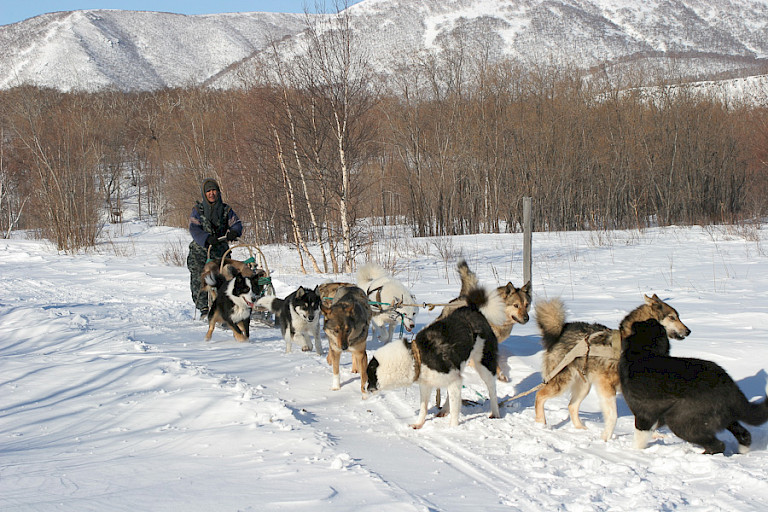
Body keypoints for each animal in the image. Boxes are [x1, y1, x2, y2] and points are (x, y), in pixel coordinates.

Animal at [366, 284, 504, 428]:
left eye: (369, 377)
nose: (366, 390)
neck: (416, 356)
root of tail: (474, 309)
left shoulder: (453, 380)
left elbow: (455, 409)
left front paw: (453, 427)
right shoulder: (427, 384)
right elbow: (424, 407)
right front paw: (419, 424)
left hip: (484, 365)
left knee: (492, 390)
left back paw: (495, 413)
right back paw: (443, 410)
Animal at [536, 294, 688, 442]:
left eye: (678, 316)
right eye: (672, 317)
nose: (688, 331)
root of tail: (561, 330)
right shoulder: (606, 386)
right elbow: (613, 416)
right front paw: (606, 438)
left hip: (584, 386)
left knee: (571, 406)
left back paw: (581, 428)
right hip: (561, 382)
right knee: (539, 395)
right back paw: (540, 423)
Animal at [616, 318, 768, 454]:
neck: (644, 351)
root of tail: (729, 385)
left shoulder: (644, 415)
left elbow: (639, 439)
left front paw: (635, 452)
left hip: (680, 421)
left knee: (718, 445)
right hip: (725, 417)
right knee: (744, 435)